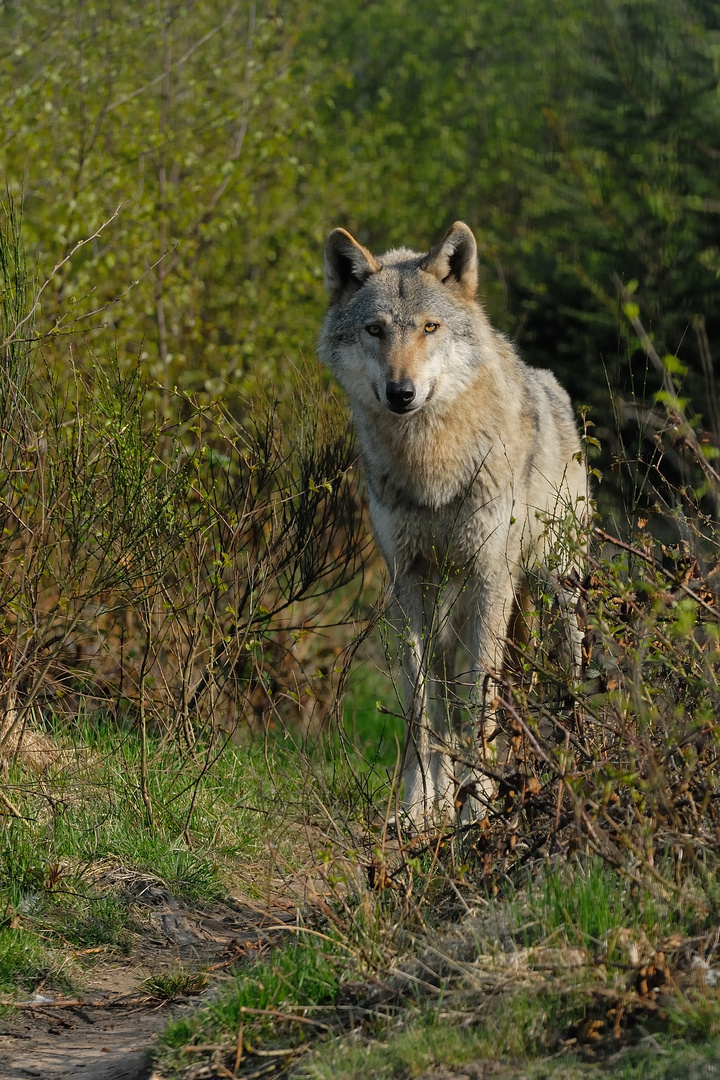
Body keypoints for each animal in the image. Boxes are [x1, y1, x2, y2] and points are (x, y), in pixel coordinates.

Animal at [319, 219, 587, 825]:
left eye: (429, 327)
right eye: (375, 329)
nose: (401, 393)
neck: (431, 464)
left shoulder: (491, 578)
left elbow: (480, 703)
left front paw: (478, 809)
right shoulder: (406, 582)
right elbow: (421, 712)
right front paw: (416, 812)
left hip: (552, 590)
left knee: (559, 681)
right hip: (447, 611)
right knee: (445, 706)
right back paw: (441, 801)